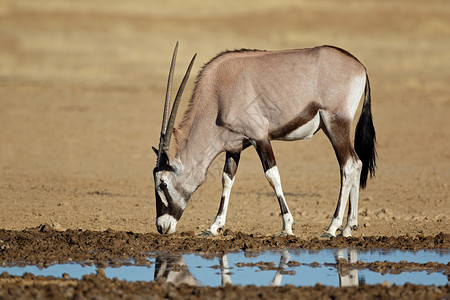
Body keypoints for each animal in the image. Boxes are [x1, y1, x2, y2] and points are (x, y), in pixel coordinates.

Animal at [152, 43, 376, 238]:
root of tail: (361, 67)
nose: (162, 227)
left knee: (348, 165)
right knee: (357, 163)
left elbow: (272, 175)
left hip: (335, 124)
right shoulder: (234, 145)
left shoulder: (260, 136)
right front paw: (214, 226)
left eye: (162, 184)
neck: (218, 94)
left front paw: (287, 226)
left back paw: (332, 228)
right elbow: (227, 179)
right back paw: (349, 227)